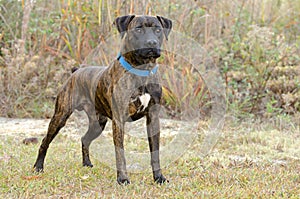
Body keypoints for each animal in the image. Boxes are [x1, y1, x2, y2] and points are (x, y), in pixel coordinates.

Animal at [33, 14, 172, 184]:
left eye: (158, 30)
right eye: (138, 29)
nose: (151, 43)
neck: (142, 70)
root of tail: (76, 71)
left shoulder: (153, 118)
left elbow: (155, 152)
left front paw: (159, 177)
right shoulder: (118, 121)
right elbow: (120, 154)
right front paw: (123, 179)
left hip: (98, 123)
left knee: (84, 139)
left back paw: (86, 164)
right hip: (60, 117)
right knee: (45, 141)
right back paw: (38, 167)